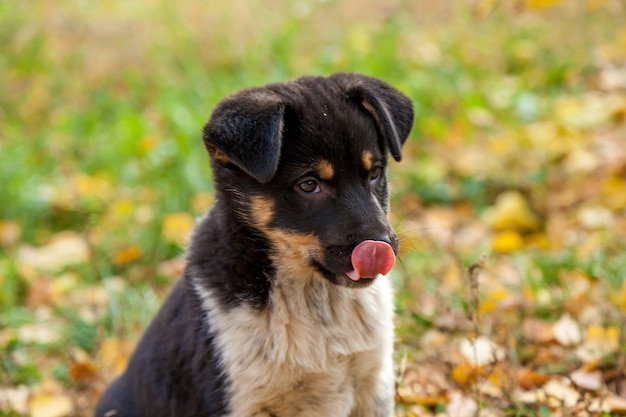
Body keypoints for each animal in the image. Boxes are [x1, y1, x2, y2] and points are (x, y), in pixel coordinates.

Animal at [95, 73, 412, 414]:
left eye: (375, 173)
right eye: (308, 185)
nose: (384, 247)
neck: (315, 297)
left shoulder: (374, 382)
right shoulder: (241, 400)